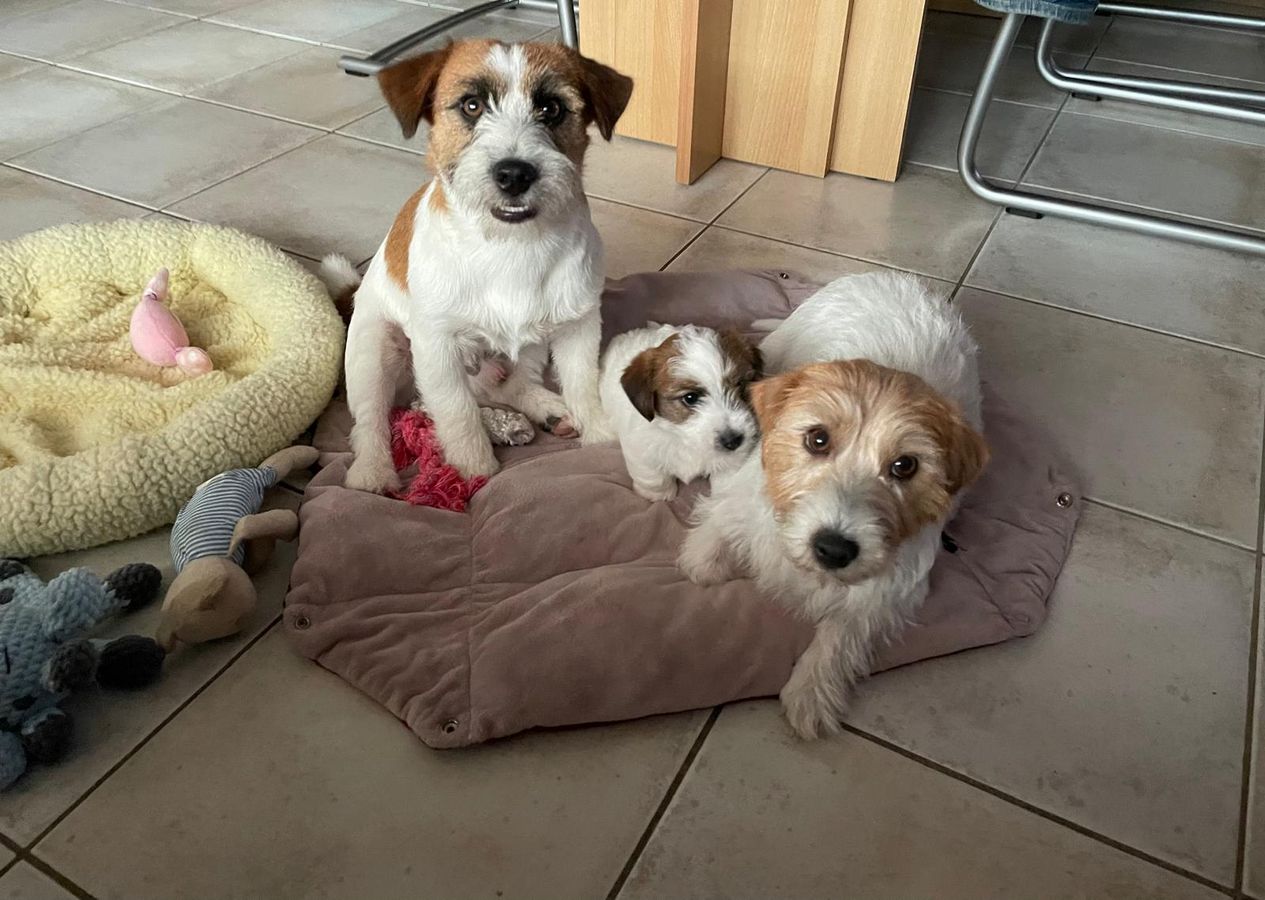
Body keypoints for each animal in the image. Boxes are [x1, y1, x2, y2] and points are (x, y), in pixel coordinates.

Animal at [329, 39, 633, 492]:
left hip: (532, 344)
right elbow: (456, 410)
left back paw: (547, 409)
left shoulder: (577, 325)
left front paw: (599, 433)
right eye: (471, 105)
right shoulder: (436, 344)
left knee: (511, 386)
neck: (510, 245)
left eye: (551, 108)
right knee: (373, 419)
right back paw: (373, 472)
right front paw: (472, 465)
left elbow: (583, 382)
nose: (514, 174)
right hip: (374, 349)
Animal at [600, 324, 762, 501]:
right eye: (690, 398)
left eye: (742, 385)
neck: (682, 436)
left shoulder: (733, 459)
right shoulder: (642, 452)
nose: (733, 440)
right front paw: (659, 496)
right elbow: (654, 478)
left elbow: (727, 478)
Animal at [678, 272, 988, 739]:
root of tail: (894, 276)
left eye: (905, 466)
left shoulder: (890, 589)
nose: (833, 549)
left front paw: (811, 691)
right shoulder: (738, 498)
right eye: (817, 438)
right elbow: (708, 551)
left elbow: (843, 635)